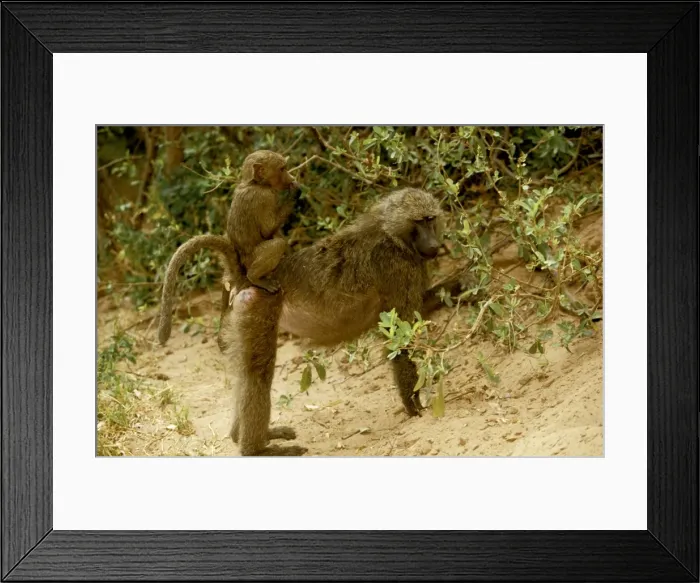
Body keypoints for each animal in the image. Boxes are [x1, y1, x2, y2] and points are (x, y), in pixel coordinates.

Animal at [224, 150, 301, 296]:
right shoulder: (265, 197)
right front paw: (294, 194)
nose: (291, 177)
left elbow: (273, 231)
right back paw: (254, 277)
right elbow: (267, 230)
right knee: (277, 244)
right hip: (251, 260)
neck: (254, 183)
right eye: (282, 169)